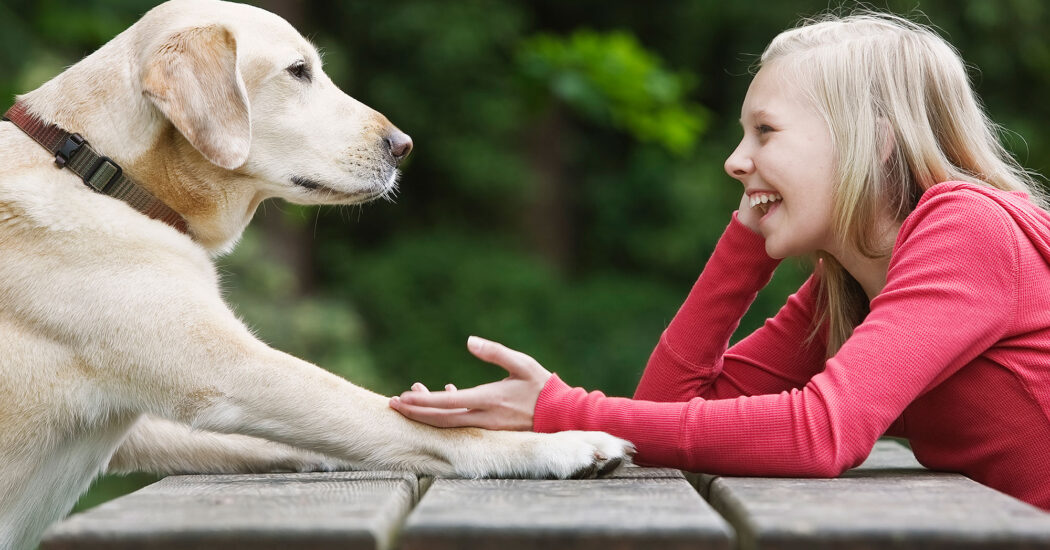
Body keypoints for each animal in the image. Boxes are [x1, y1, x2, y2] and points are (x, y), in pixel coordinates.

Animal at [0, 2, 630, 545]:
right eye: (298, 72)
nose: (403, 146)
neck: (97, 167)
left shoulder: (147, 428)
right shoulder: (232, 371)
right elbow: (399, 420)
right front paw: (562, 445)